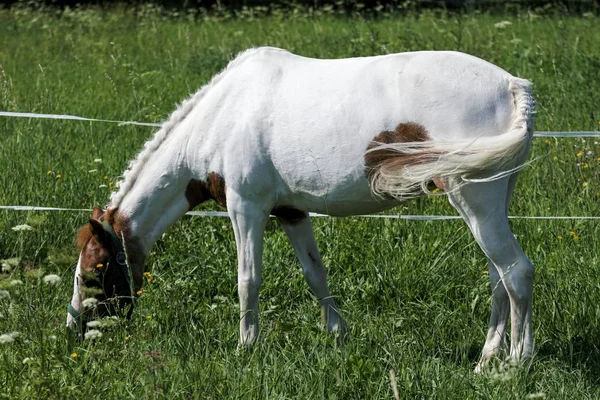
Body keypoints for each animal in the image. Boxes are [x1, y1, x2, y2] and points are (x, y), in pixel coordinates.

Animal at [68, 48, 536, 370]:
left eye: (93, 271)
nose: (75, 331)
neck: (223, 116)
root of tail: (513, 85)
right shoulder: (291, 213)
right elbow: (315, 274)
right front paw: (338, 336)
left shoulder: (246, 209)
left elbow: (248, 280)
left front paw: (246, 346)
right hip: (490, 203)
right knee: (498, 277)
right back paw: (486, 359)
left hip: (474, 201)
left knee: (516, 272)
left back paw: (517, 362)